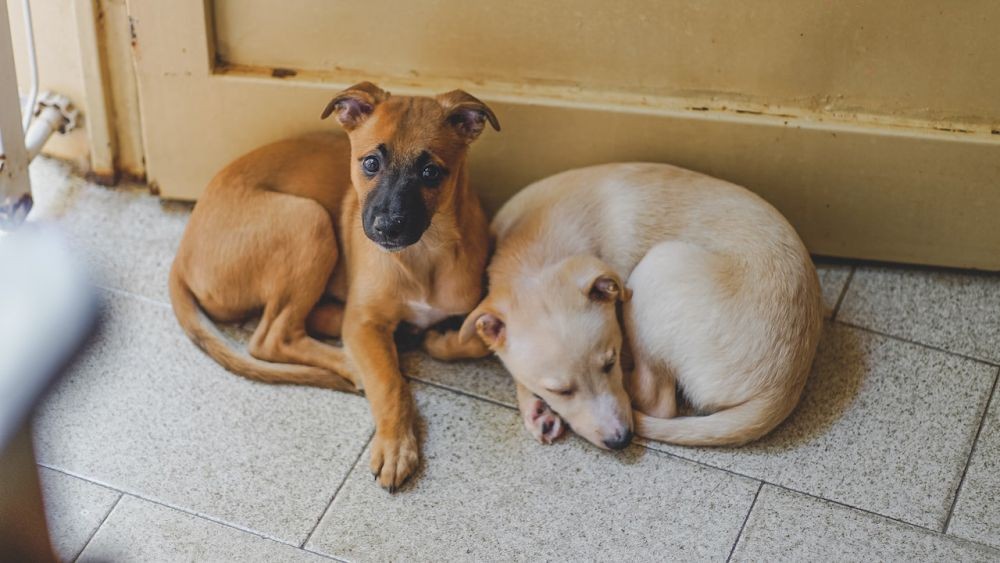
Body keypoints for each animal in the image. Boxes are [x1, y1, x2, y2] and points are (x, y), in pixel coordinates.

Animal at [175, 82, 500, 490]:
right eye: (371, 163)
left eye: (430, 172)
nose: (387, 227)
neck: (424, 254)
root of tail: (182, 252)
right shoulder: (364, 323)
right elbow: (390, 384)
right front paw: (396, 446)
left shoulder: (476, 304)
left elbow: (478, 340)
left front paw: (440, 340)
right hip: (308, 220)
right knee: (271, 338)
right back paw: (353, 362)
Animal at [460, 163, 820, 450]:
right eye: (561, 390)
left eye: (610, 363)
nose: (621, 441)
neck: (534, 249)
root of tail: (783, 386)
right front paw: (537, 408)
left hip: (659, 267)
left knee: (657, 401)